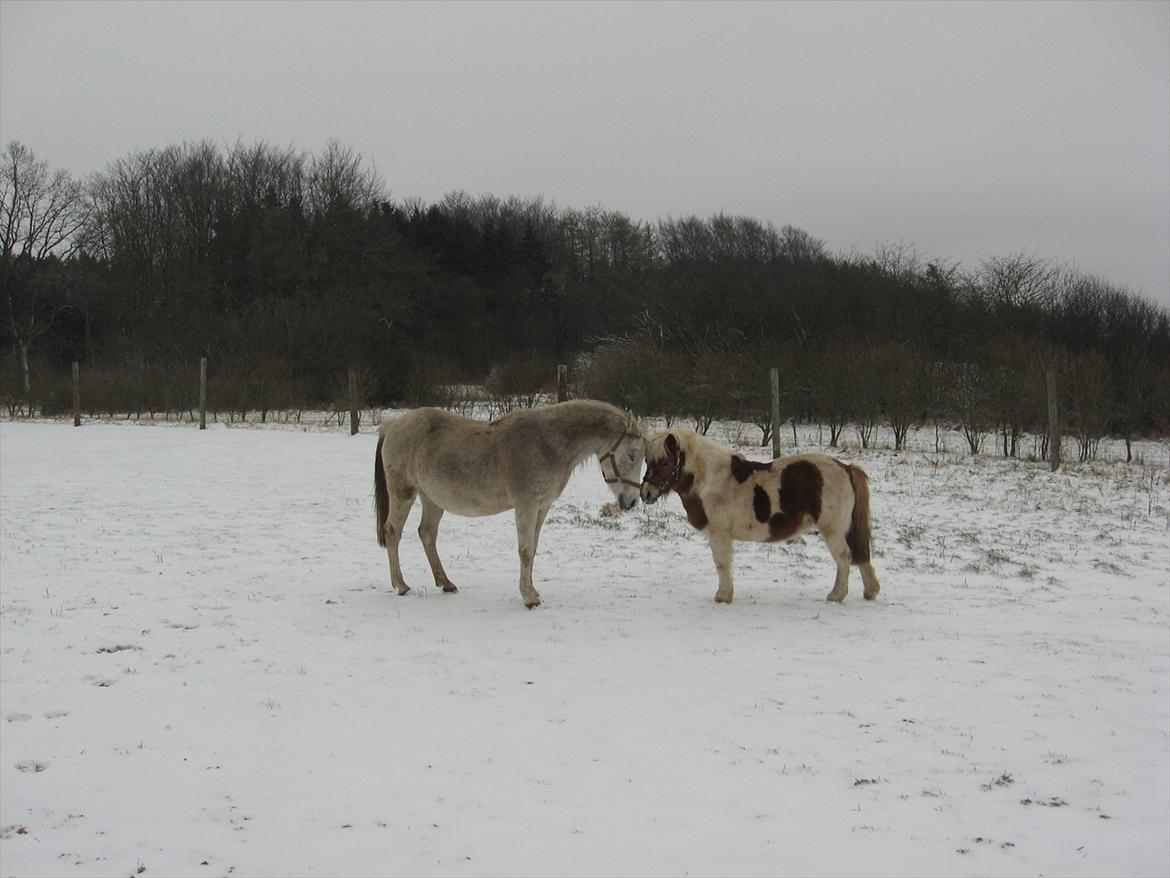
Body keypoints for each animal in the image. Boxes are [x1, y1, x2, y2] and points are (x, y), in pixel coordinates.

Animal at [376, 402, 650, 608]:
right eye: (632, 455)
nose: (632, 501)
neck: (546, 443)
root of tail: (394, 425)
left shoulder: (542, 507)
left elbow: (533, 549)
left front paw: (533, 590)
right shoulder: (526, 505)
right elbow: (525, 551)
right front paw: (529, 598)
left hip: (432, 499)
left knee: (427, 534)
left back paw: (445, 582)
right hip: (404, 493)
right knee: (393, 532)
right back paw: (401, 585)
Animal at [641, 430, 879, 608]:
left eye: (664, 463)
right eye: (647, 461)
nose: (646, 493)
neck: (711, 479)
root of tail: (847, 468)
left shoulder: (719, 534)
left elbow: (721, 564)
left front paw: (723, 596)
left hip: (833, 530)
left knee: (844, 557)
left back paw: (836, 595)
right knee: (860, 555)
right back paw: (870, 591)